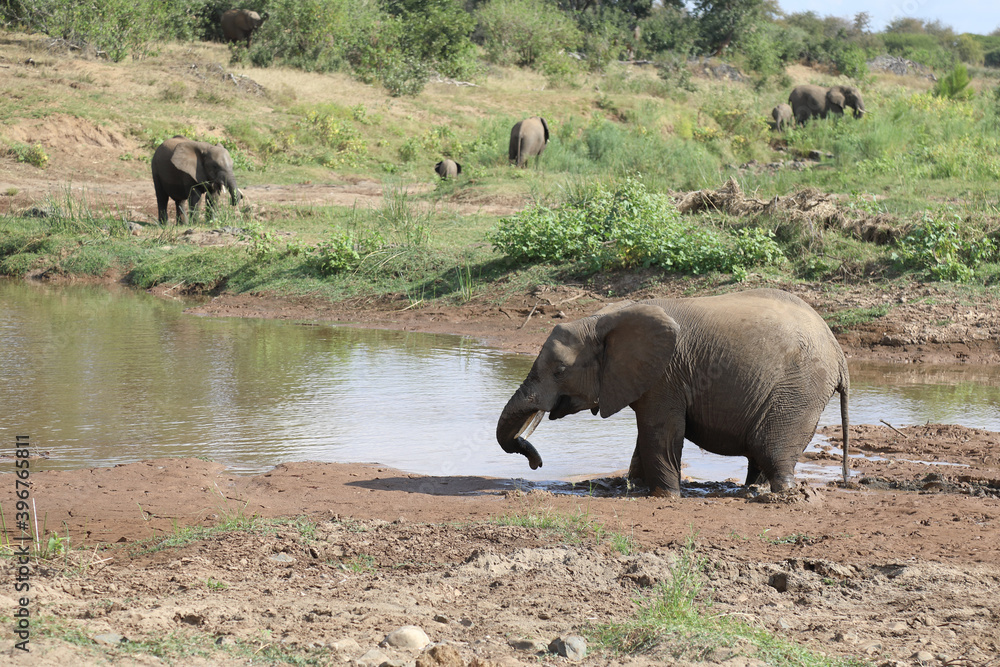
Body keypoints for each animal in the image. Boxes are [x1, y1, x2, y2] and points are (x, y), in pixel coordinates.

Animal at [496, 290, 848, 498]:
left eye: (559, 371)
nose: (537, 465)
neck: (601, 319)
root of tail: (837, 349)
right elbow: (647, 436)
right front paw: (633, 487)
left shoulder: (666, 375)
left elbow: (659, 432)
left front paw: (665, 496)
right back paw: (750, 491)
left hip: (799, 386)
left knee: (770, 447)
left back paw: (782, 496)